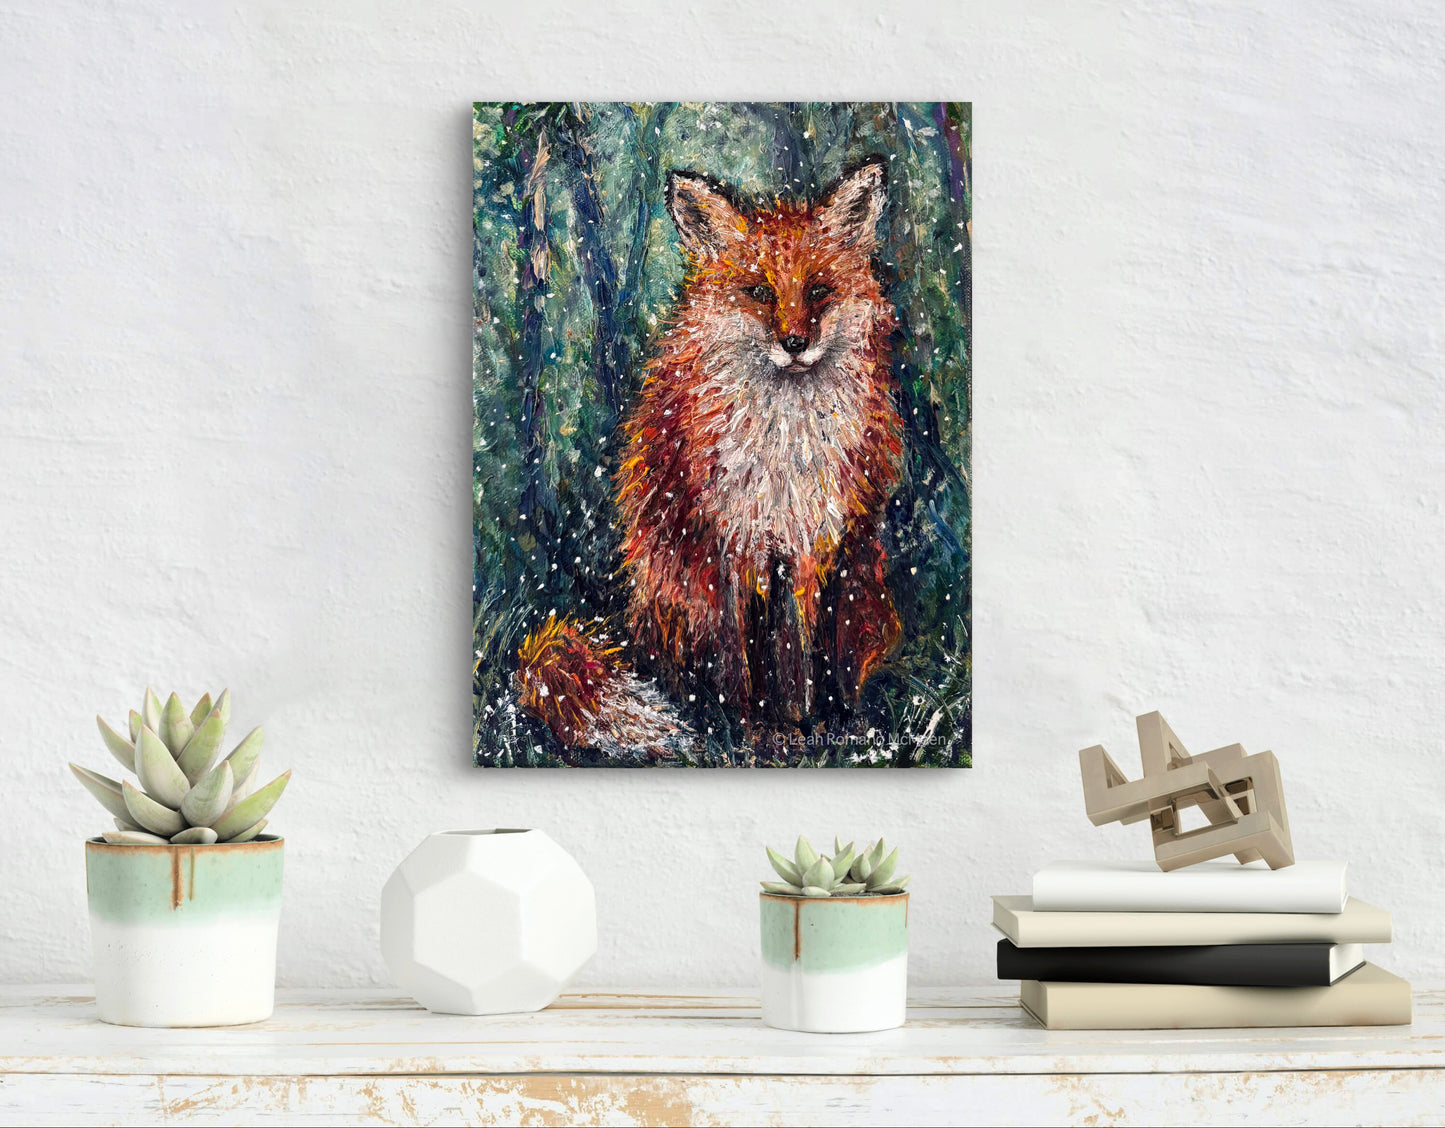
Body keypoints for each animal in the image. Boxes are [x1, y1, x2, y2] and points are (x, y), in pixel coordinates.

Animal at [515, 157, 904, 755]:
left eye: (818, 290)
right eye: (759, 292)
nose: (795, 343)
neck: (782, 445)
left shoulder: (815, 541)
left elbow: (810, 652)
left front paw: (817, 722)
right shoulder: (727, 539)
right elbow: (737, 658)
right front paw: (751, 728)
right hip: (678, 583)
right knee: (689, 669)